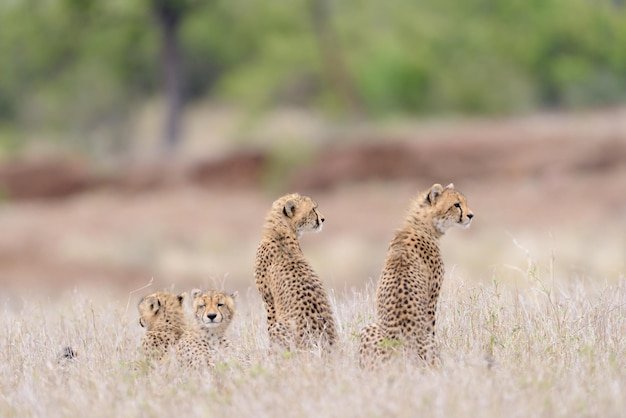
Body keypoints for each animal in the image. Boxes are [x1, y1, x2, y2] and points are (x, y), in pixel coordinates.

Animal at [254, 194, 336, 352]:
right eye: (313, 209)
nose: (323, 219)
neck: (281, 230)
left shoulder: (269, 300)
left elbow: (269, 326)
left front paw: (269, 352)